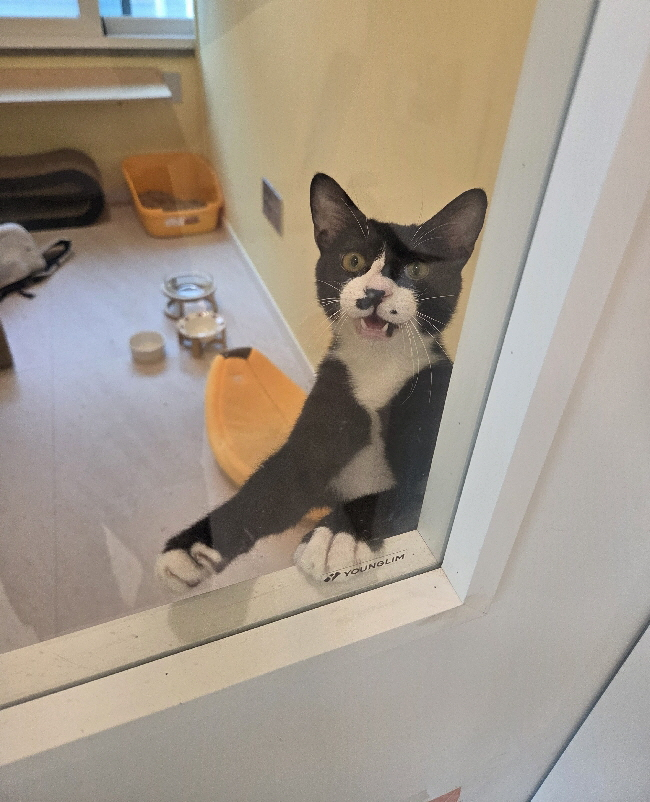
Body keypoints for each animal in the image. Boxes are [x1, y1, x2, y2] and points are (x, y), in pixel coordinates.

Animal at [156, 173, 487, 591]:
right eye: (353, 261)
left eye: (416, 270)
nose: (375, 292)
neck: (377, 366)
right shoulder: (328, 407)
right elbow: (269, 488)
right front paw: (193, 547)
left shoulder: (432, 406)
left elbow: (402, 492)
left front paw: (335, 536)